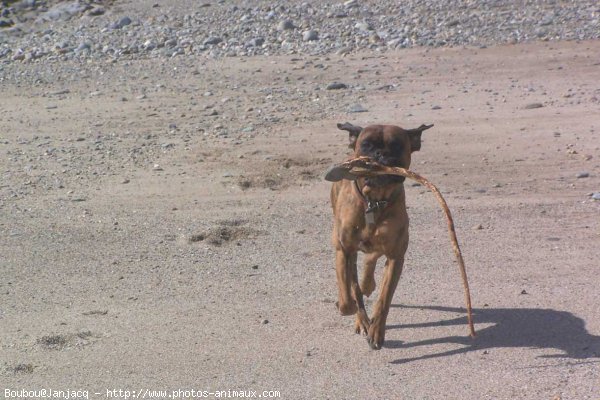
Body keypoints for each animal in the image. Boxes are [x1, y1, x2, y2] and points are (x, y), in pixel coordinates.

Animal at [328, 122, 432, 350]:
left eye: (396, 146)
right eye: (367, 145)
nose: (380, 154)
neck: (374, 201)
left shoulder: (396, 256)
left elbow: (384, 299)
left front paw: (376, 330)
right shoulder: (344, 250)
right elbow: (349, 297)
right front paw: (353, 309)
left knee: (370, 260)